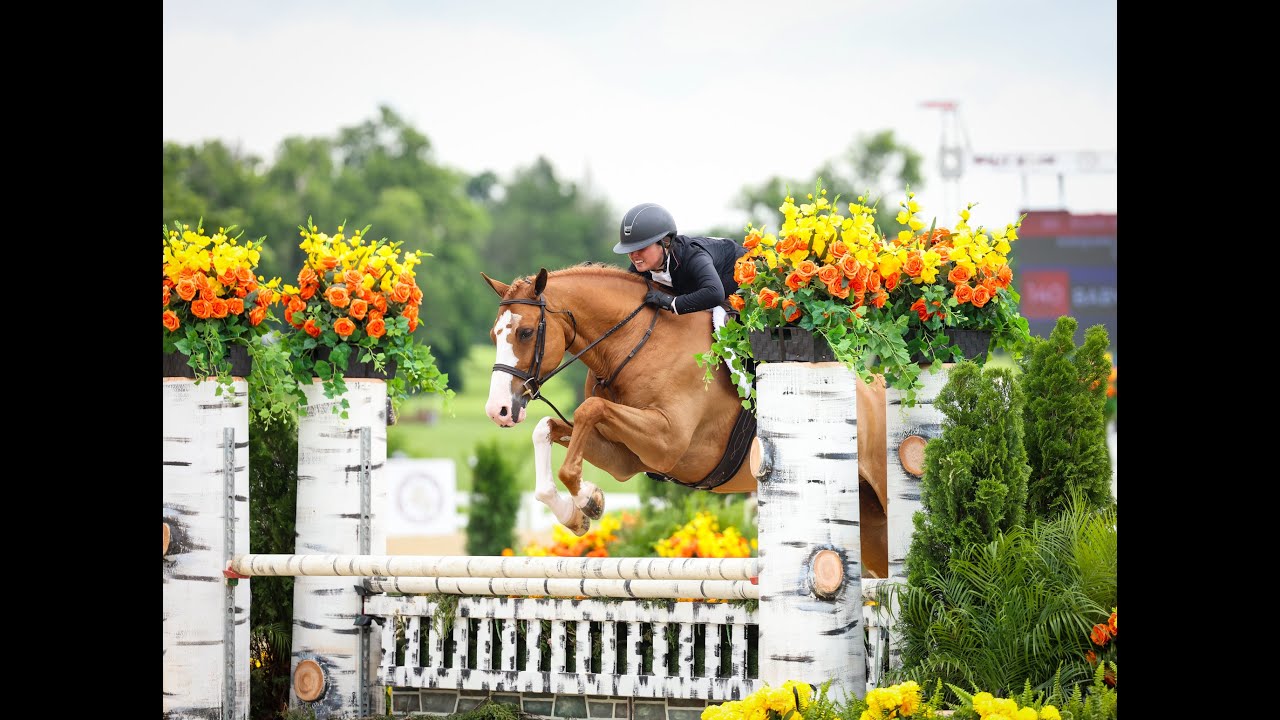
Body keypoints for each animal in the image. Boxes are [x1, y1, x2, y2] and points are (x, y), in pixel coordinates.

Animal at [480, 264, 891, 578]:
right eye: (493, 334)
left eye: (525, 332)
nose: (497, 410)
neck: (631, 344)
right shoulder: (628, 459)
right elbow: (547, 429)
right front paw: (577, 513)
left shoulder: (666, 442)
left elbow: (588, 411)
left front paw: (588, 502)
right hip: (867, 521)